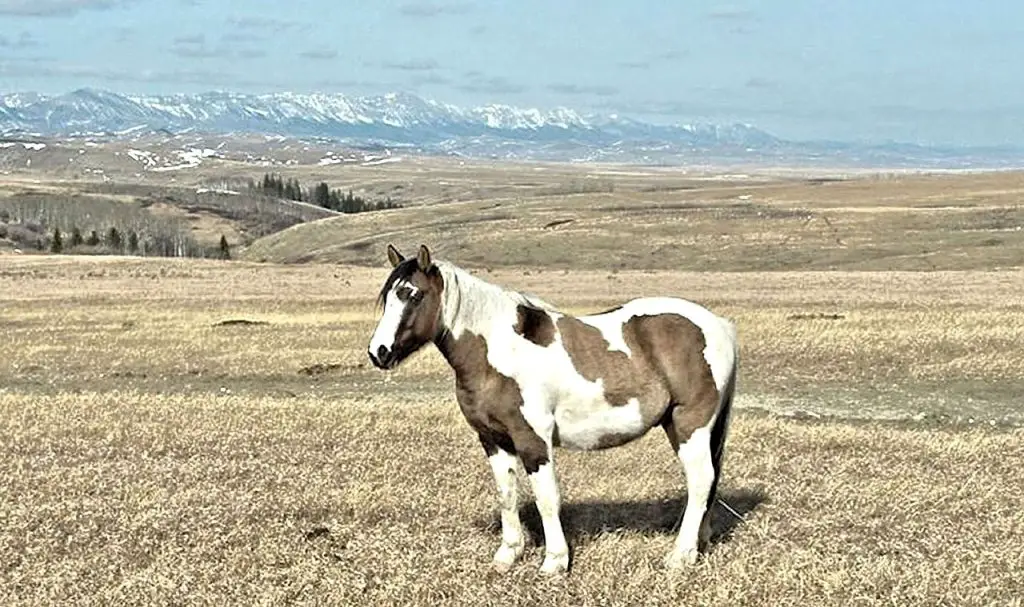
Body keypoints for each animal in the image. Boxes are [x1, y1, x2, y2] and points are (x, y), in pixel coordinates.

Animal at [372, 242, 741, 573]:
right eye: (387, 296)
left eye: (414, 295)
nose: (378, 352)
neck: (499, 352)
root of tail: (718, 324)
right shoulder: (493, 440)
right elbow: (507, 494)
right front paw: (508, 555)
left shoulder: (533, 439)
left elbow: (546, 498)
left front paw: (554, 562)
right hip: (681, 427)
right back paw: (698, 544)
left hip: (690, 424)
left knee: (701, 480)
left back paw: (679, 557)